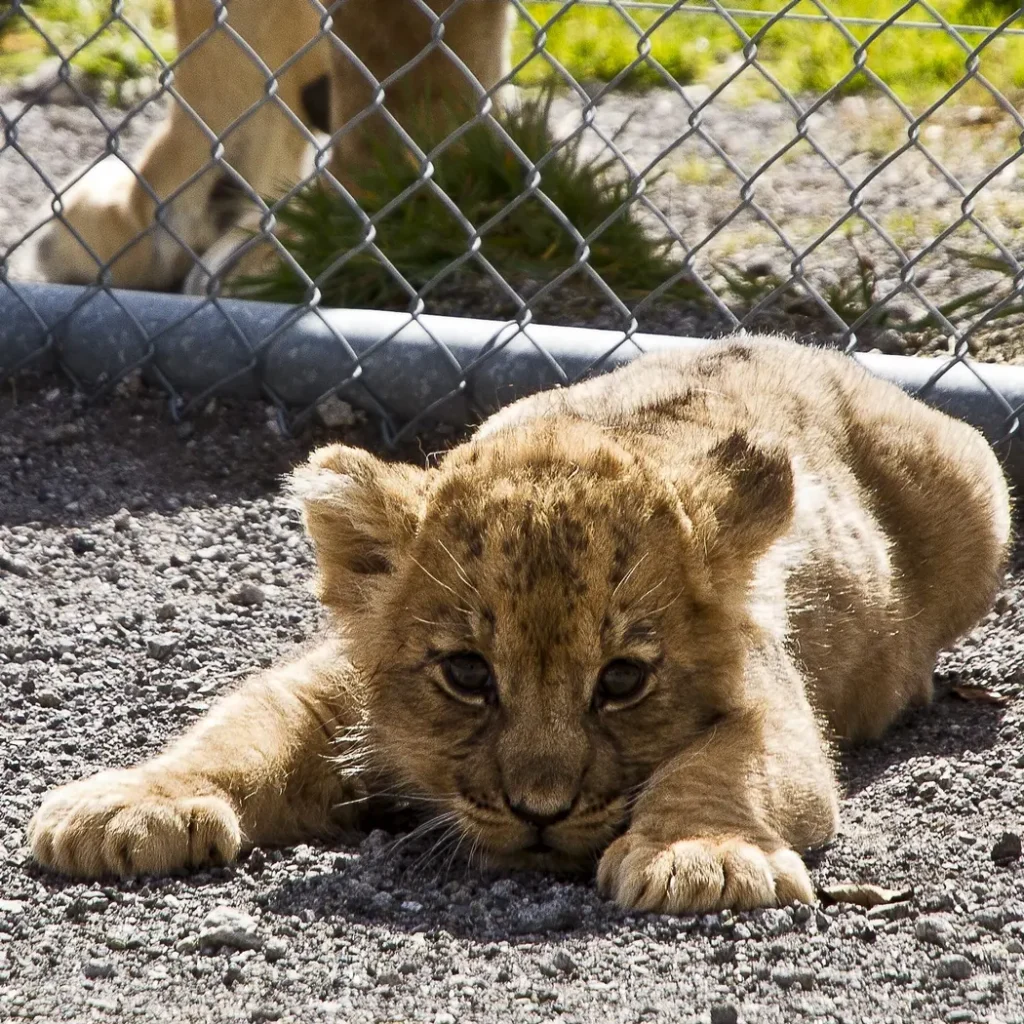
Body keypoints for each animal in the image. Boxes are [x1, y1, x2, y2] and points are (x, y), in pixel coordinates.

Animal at [28, 337, 1011, 913]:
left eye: (622, 680)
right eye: (468, 673)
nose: (541, 811)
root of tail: (802, 344)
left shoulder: (778, 707)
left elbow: (720, 767)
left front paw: (701, 858)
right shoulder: (331, 678)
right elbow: (240, 727)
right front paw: (130, 808)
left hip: (985, 493)